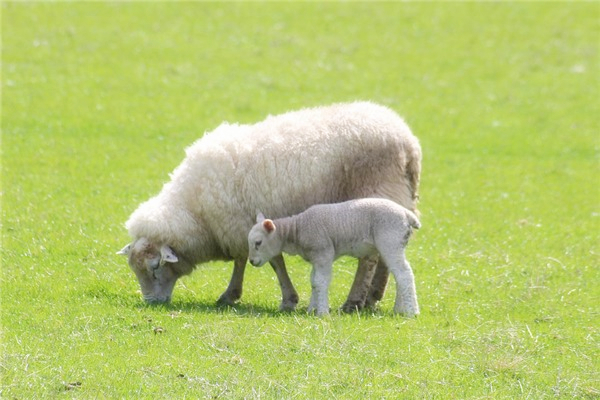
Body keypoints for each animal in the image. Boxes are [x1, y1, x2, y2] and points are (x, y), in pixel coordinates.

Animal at [248, 198, 422, 318]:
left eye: (258, 243)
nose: (252, 261)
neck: (297, 229)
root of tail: (407, 214)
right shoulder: (316, 257)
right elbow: (314, 282)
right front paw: (312, 309)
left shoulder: (323, 252)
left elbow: (321, 281)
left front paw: (322, 312)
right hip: (393, 244)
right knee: (399, 274)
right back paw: (400, 309)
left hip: (390, 240)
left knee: (404, 273)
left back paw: (411, 311)